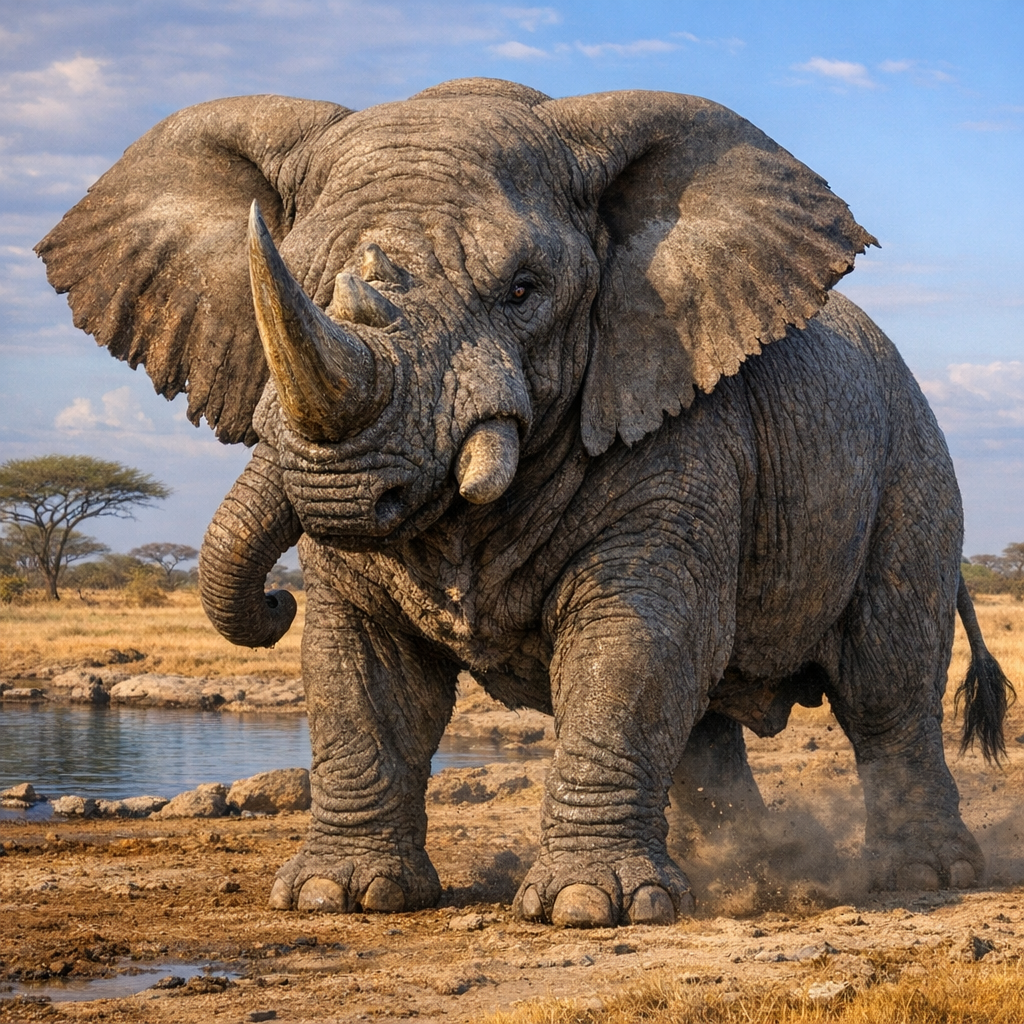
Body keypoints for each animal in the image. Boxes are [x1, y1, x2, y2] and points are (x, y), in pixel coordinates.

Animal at [38, 78, 1011, 928]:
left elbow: (634, 638)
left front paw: (588, 911)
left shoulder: (678, 419)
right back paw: (741, 875)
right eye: (283, 283)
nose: (272, 600)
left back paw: (918, 877)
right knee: (708, 725)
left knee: (886, 685)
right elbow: (359, 663)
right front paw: (338, 898)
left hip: (913, 478)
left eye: (521, 292)